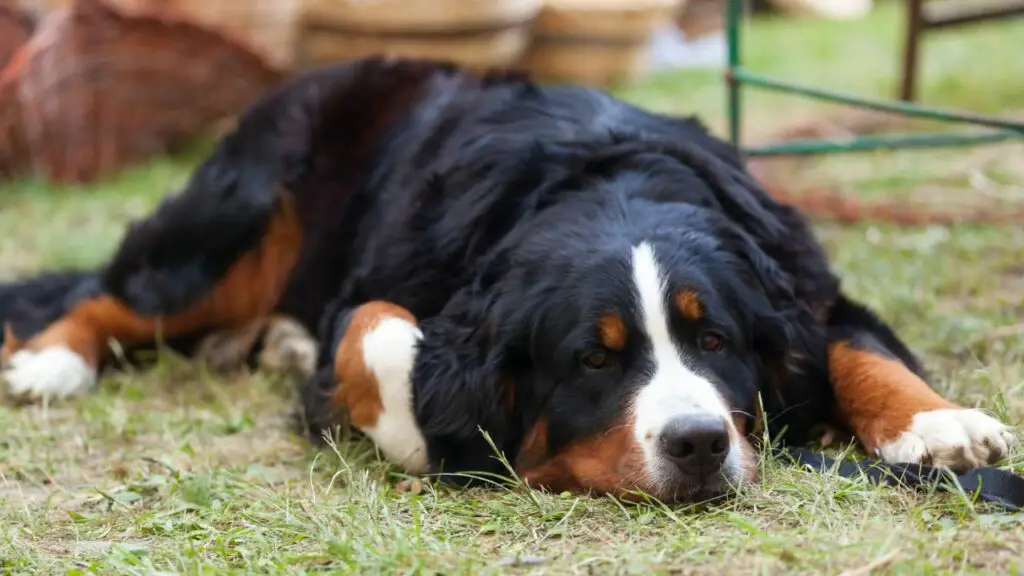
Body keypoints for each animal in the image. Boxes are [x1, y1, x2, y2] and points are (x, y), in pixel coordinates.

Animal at [0, 56, 1011, 500]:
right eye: (594, 360)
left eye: (713, 338)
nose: (697, 442)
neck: (605, 180)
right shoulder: (388, 293)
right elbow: (376, 329)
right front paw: (411, 426)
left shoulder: (795, 278)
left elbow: (853, 346)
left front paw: (936, 422)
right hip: (239, 215)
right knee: (114, 294)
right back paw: (50, 362)